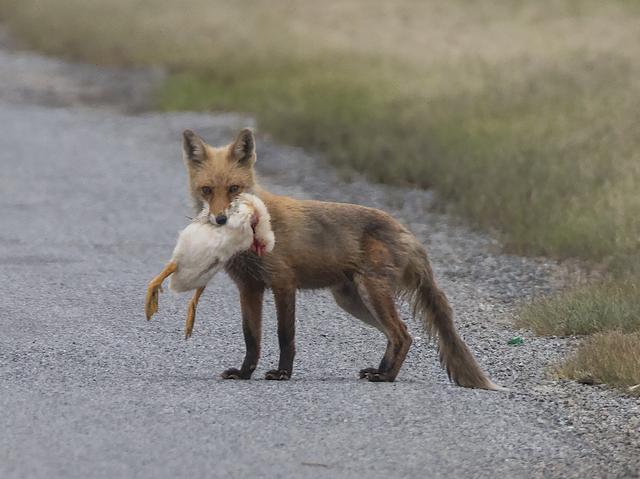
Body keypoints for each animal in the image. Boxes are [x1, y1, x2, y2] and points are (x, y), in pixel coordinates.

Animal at [180, 127, 500, 390]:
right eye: (207, 190)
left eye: (234, 189)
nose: (220, 219)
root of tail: (405, 230)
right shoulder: (249, 287)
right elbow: (251, 337)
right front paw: (245, 372)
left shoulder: (283, 283)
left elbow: (285, 336)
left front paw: (283, 374)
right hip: (352, 301)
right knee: (400, 335)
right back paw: (381, 372)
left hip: (370, 292)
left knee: (402, 333)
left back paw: (385, 377)